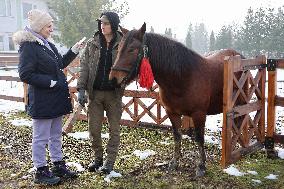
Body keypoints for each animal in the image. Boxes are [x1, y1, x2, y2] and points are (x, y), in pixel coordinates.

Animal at [109, 23, 244, 177]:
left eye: (132, 50)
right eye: (119, 48)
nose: (113, 79)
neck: (183, 77)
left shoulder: (199, 114)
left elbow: (199, 138)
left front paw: (201, 166)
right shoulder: (172, 113)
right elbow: (177, 136)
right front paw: (174, 162)